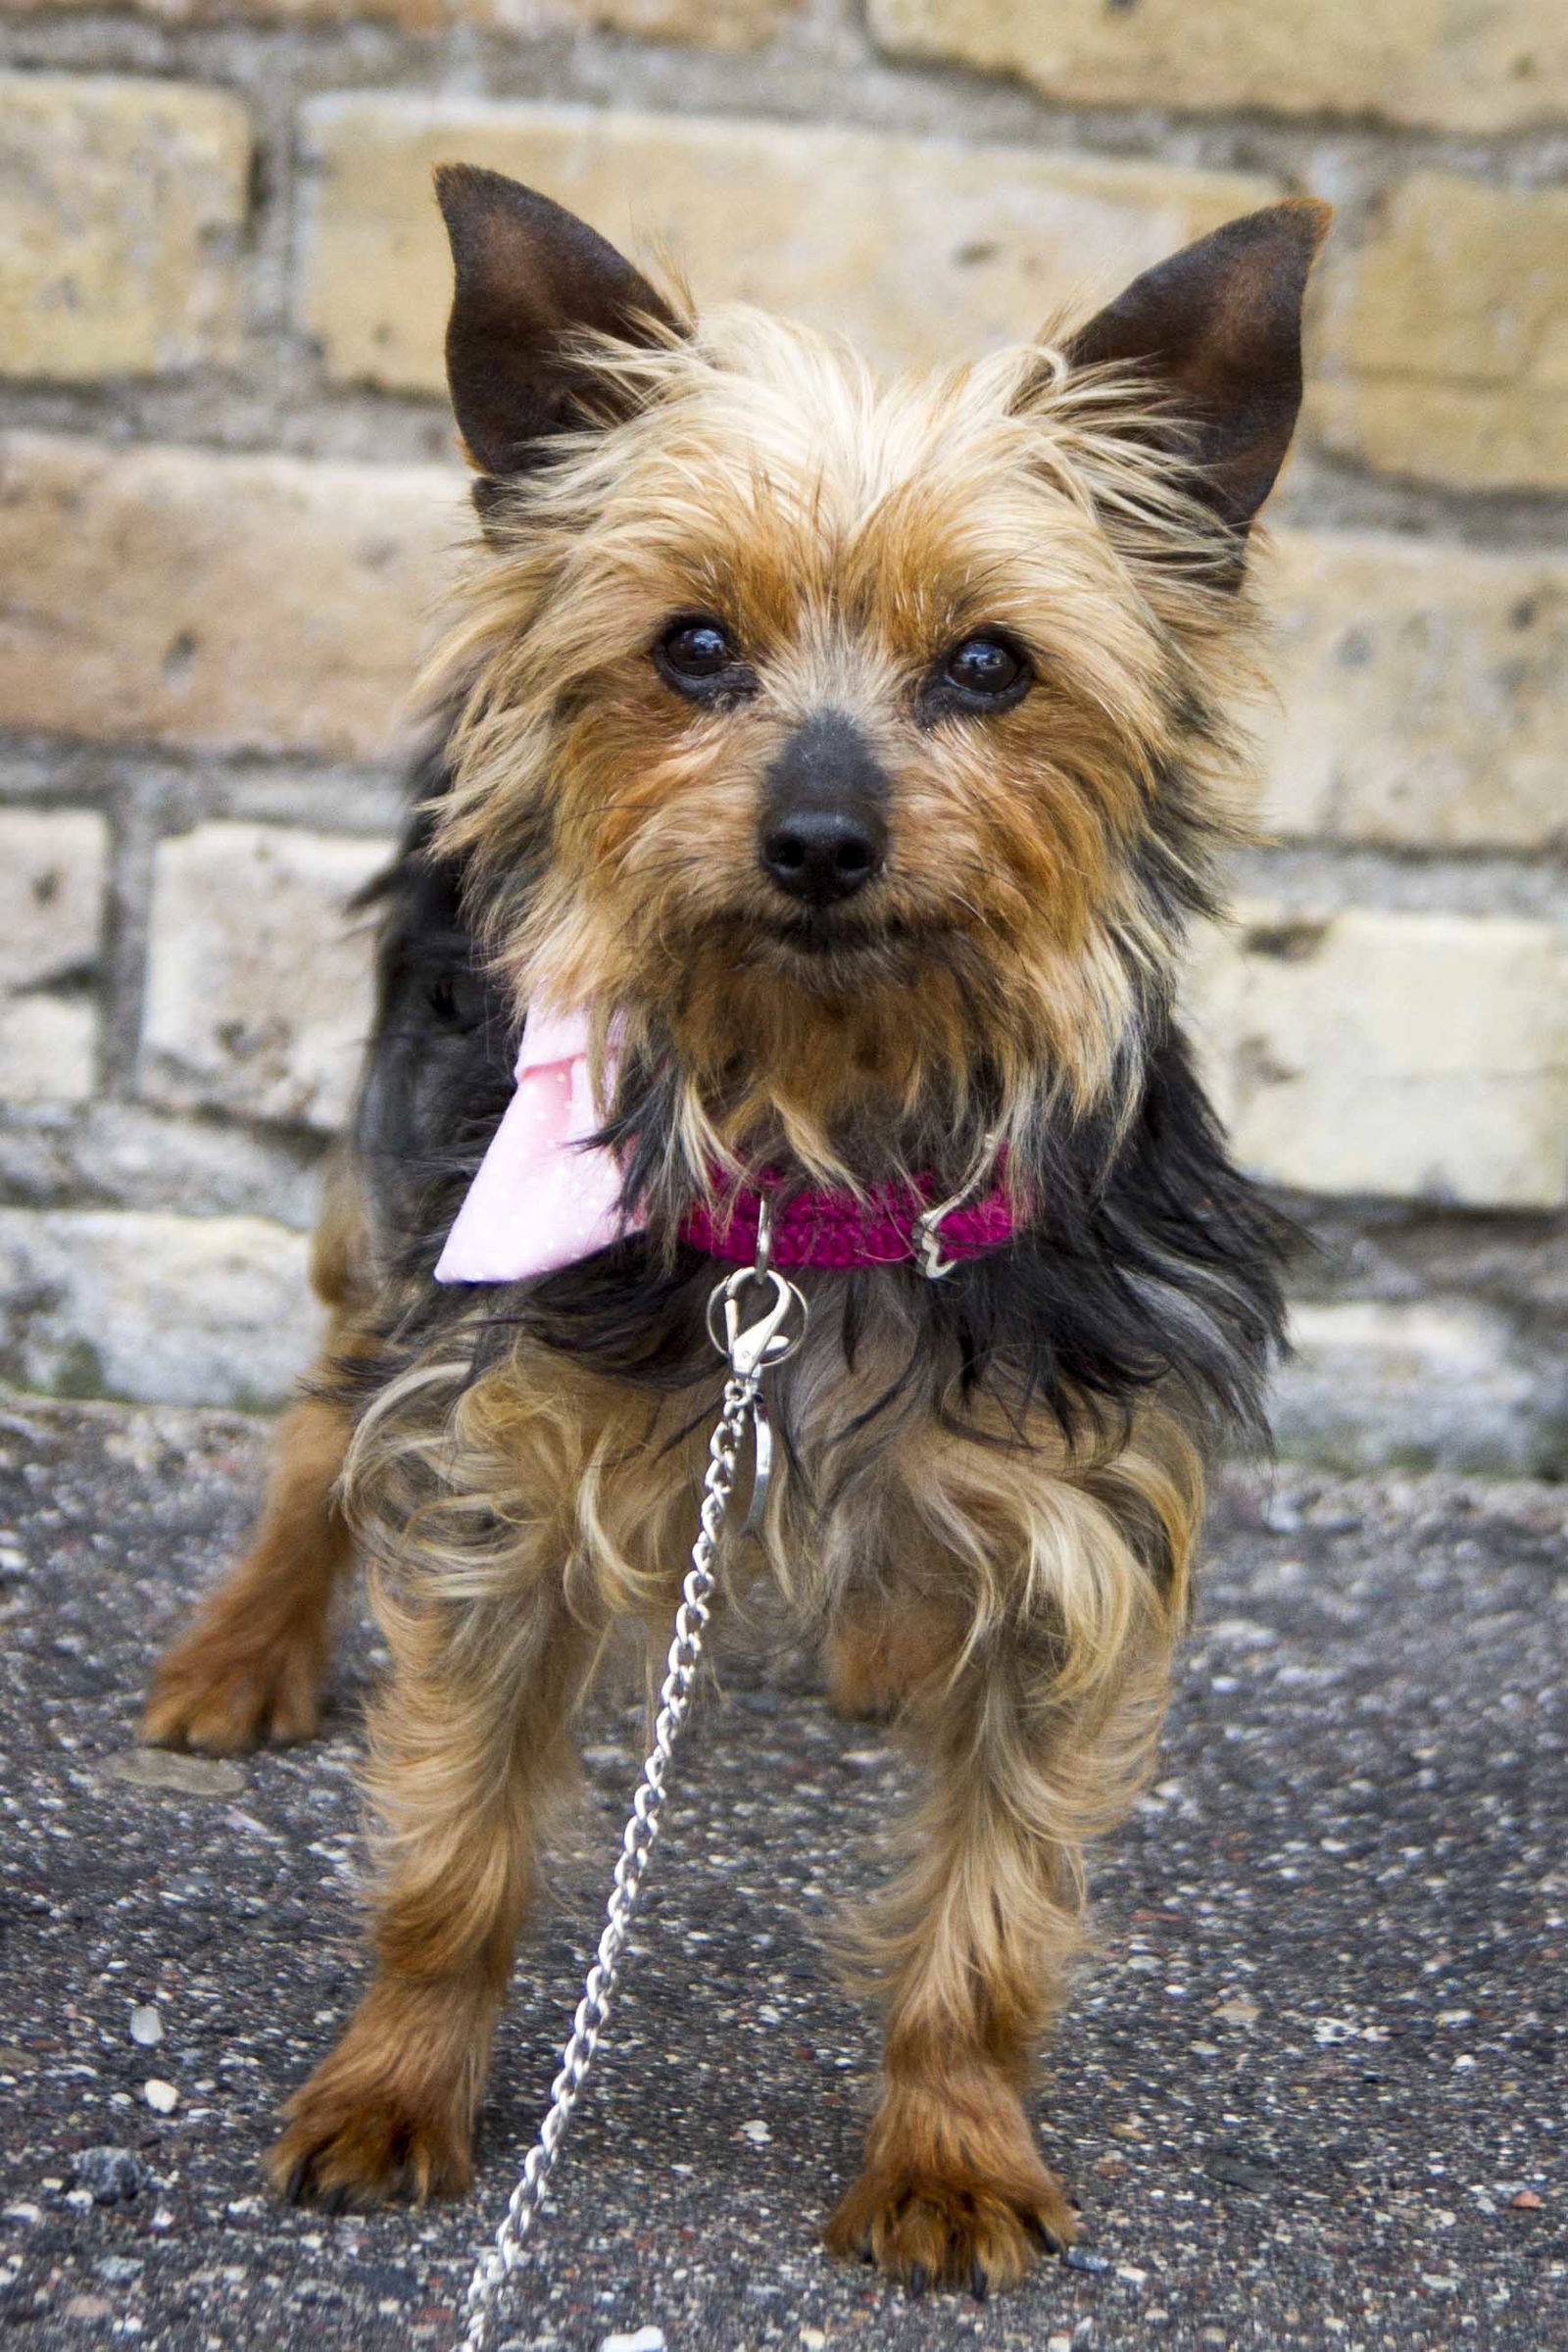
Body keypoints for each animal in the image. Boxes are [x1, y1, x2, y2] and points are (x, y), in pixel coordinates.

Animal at [143, 171, 1325, 2295]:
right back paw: (244, 1644)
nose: (821, 841)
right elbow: (452, 1854)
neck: (825, 1140)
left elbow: (993, 1912)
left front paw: (949, 2152)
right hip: (405, 1175)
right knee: (319, 1414)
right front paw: (393, 2090)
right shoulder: (506, 1477)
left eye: (991, 667)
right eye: (693, 649)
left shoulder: (1080, 1527)